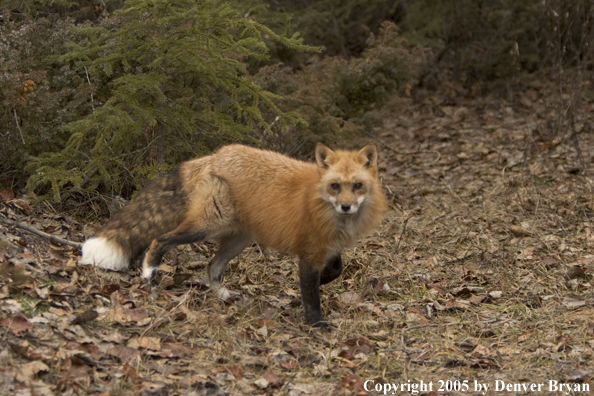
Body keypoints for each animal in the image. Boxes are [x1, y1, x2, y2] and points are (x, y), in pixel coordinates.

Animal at [80, 144, 384, 326]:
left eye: (357, 186)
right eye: (335, 186)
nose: (346, 206)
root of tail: (214, 155)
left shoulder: (326, 248)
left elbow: (335, 271)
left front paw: (319, 286)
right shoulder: (309, 253)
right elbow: (311, 294)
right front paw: (316, 323)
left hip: (239, 240)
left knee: (212, 266)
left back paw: (223, 295)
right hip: (204, 228)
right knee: (159, 241)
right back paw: (149, 276)